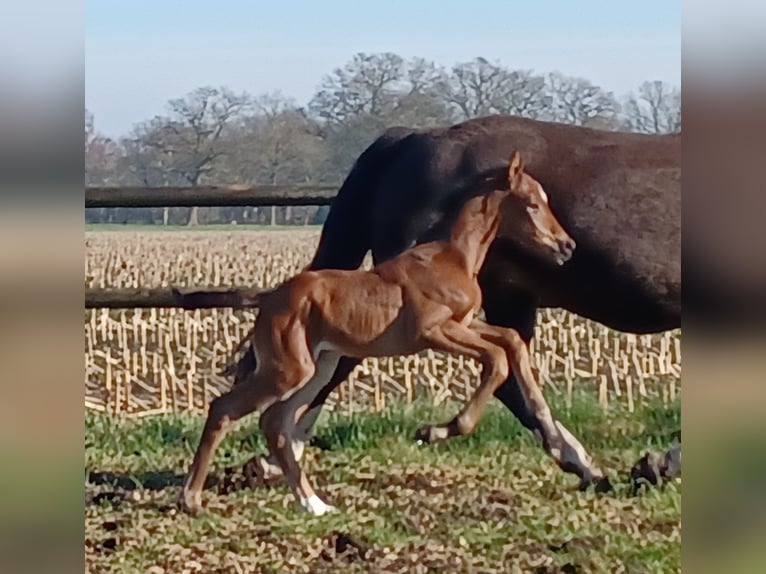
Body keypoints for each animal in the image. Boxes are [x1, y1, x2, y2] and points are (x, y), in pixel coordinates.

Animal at [180, 152, 576, 516]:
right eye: (533, 203)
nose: (567, 245)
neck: (454, 258)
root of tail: (270, 298)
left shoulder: (464, 324)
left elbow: (511, 340)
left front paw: (553, 432)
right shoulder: (433, 331)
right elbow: (496, 360)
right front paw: (435, 431)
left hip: (318, 367)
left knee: (274, 422)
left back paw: (314, 504)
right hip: (287, 370)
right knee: (225, 410)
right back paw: (192, 499)